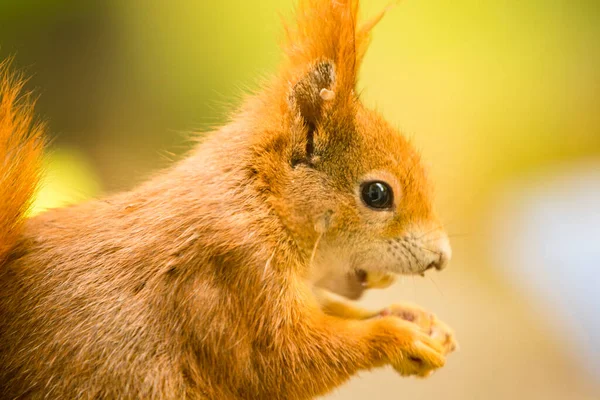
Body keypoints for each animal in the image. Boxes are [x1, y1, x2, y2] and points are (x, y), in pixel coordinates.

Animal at [0, 1, 458, 398]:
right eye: (377, 194)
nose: (442, 257)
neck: (263, 203)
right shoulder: (235, 274)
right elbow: (281, 364)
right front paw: (397, 336)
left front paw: (415, 318)